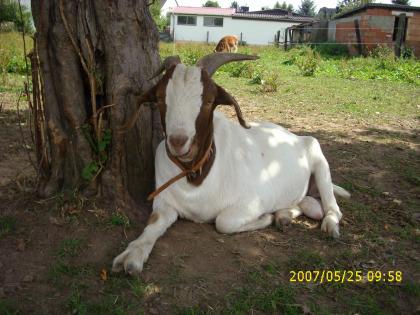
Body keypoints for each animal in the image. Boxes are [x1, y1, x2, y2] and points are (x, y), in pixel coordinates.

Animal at [110, 54, 348, 276]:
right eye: (160, 97)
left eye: (208, 100)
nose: (178, 142)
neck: (197, 175)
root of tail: (294, 136)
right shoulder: (164, 203)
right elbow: (154, 223)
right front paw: (131, 256)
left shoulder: (255, 200)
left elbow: (223, 222)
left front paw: (265, 218)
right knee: (305, 203)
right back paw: (284, 216)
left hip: (317, 155)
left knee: (333, 208)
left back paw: (327, 225)